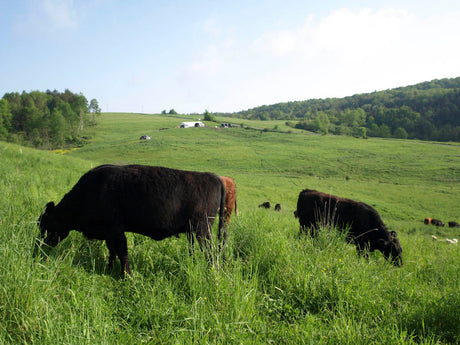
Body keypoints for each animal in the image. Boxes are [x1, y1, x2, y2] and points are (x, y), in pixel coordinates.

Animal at [37, 164, 226, 274]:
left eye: (45, 225)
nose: (38, 248)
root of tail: (214, 177)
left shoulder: (116, 231)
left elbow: (122, 253)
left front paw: (126, 276)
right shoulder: (110, 234)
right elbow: (113, 252)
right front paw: (109, 270)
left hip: (203, 231)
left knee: (211, 253)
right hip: (194, 232)